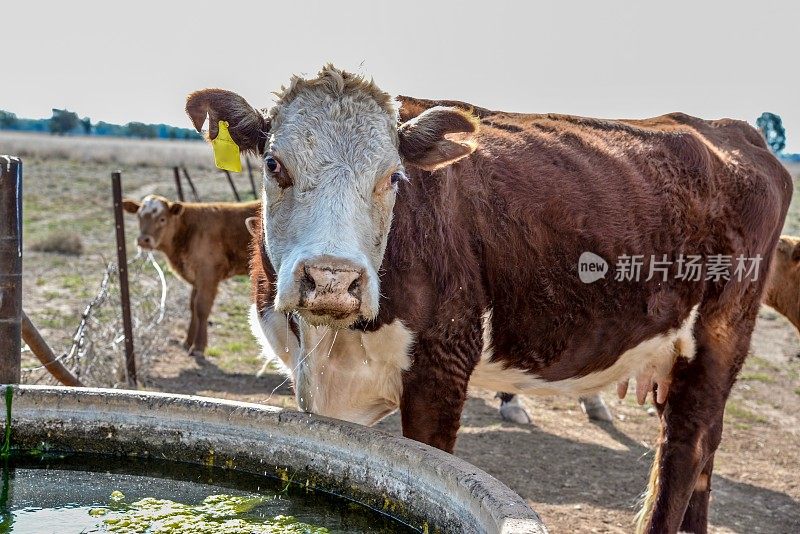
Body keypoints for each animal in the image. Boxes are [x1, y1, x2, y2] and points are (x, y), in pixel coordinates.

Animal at [122, 196, 260, 356]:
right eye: (139, 216)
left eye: (162, 219)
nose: (143, 240)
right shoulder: (196, 277)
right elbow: (192, 305)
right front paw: (188, 341)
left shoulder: (208, 274)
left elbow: (201, 307)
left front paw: (198, 346)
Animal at [184, 67, 792, 534]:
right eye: (274, 165)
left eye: (393, 177)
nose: (333, 279)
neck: (328, 345)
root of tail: (731, 130)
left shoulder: (443, 365)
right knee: (705, 446)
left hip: (718, 335)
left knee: (685, 447)